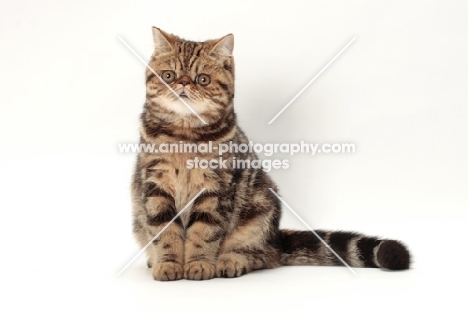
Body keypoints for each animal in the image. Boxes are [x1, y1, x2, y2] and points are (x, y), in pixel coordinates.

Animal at [131, 27, 410, 282]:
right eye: (168, 75)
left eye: (202, 79)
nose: (182, 83)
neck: (184, 136)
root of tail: (276, 238)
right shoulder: (155, 185)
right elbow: (164, 231)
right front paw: (168, 263)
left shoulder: (215, 188)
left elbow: (204, 232)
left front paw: (199, 263)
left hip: (262, 207)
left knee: (265, 256)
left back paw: (231, 260)